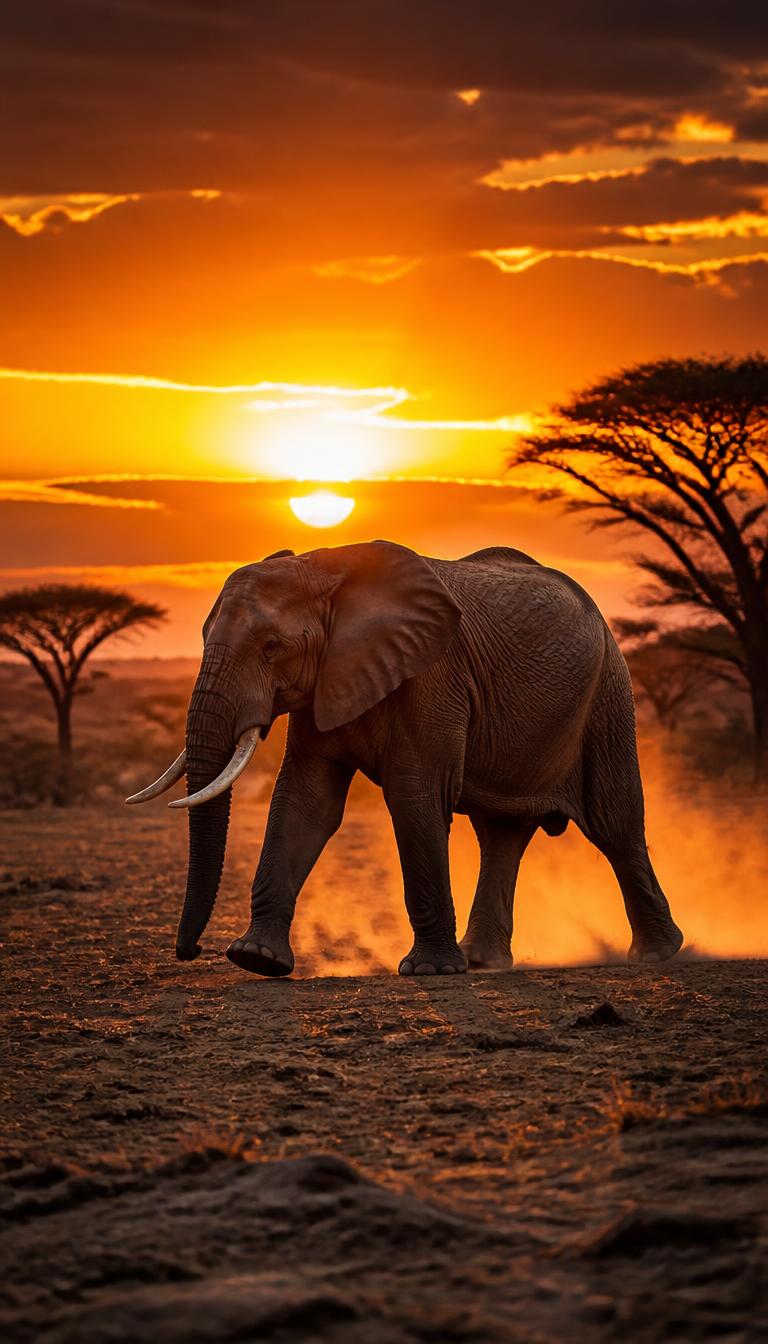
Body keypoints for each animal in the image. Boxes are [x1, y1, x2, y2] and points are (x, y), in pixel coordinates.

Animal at [127, 540, 683, 977]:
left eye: (271, 647)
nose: (190, 950)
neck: (324, 569)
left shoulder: (432, 678)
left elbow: (415, 795)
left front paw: (429, 971)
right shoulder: (326, 680)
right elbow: (305, 802)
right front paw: (256, 959)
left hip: (607, 696)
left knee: (615, 824)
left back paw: (657, 955)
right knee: (501, 835)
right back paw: (483, 961)